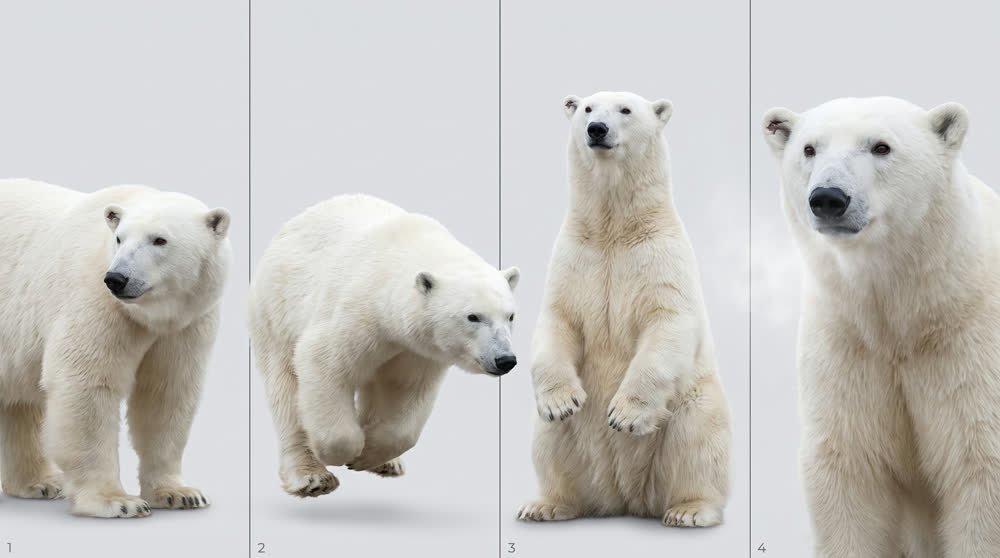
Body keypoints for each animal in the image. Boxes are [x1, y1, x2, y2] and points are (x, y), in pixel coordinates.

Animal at [0, 178, 231, 518]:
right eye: (120, 238)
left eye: (159, 240)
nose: (117, 278)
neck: (150, 315)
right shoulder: (97, 303)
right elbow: (88, 386)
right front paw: (117, 501)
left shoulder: (186, 326)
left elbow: (165, 394)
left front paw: (180, 493)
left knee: (20, 404)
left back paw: (39, 483)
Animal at [248, 194, 520, 497]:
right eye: (473, 316)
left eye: (510, 315)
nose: (505, 359)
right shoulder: (356, 311)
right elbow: (323, 363)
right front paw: (346, 453)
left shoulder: (416, 349)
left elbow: (404, 391)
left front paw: (370, 454)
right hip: (276, 310)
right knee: (286, 388)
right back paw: (311, 476)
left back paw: (388, 463)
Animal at [517, 92, 732, 527]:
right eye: (586, 108)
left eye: (626, 110)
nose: (596, 129)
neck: (614, 229)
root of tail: (625, 499)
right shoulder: (575, 257)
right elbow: (557, 319)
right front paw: (561, 401)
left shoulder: (660, 256)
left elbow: (667, 320)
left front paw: (624, 416)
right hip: (571, 442)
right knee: (548, 440)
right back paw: (545, 504)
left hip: (688, 404)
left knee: (698, 439)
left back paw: (689, 510)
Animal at [762, 97, 1000, 557]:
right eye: (809, 149)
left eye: (881, 147)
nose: (828, 198)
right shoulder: (847, 343)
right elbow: (850, 468)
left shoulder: (968, 344)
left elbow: (979, 461)